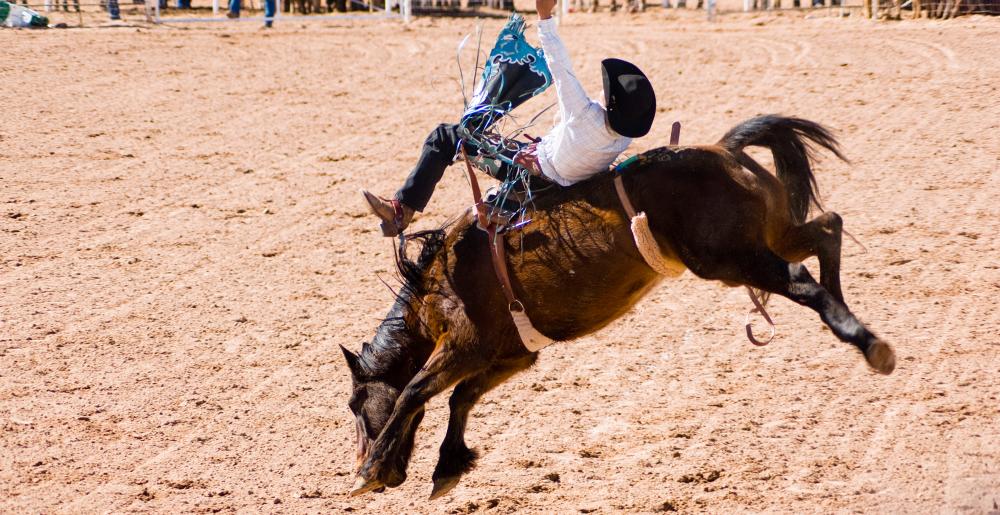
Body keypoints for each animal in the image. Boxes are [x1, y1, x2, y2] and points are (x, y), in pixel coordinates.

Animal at [344, 116, 900, 500]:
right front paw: (447, 468)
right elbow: (461, 398)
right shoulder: (511, 357)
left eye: (353, 404)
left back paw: (867, 342)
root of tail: (723, 149)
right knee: (828, 227)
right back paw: (856, 323)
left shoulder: (463, 345)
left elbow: (413, 393)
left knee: (803, 277)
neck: (439, 283)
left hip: (733, 258)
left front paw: (370, 471)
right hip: (766, 238)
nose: (365, 459)